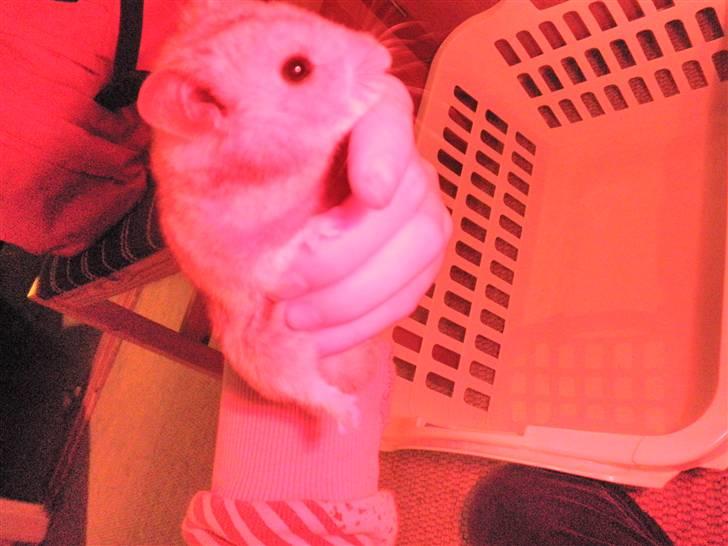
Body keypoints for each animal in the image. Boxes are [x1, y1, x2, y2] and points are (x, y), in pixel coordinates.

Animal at [137, 0, 394, 429]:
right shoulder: (250, 261)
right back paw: (349, 415)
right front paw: (327, 225)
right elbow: (285, 247)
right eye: (297, 69)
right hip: (264, 359)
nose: (386, 59)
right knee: (310, 393)